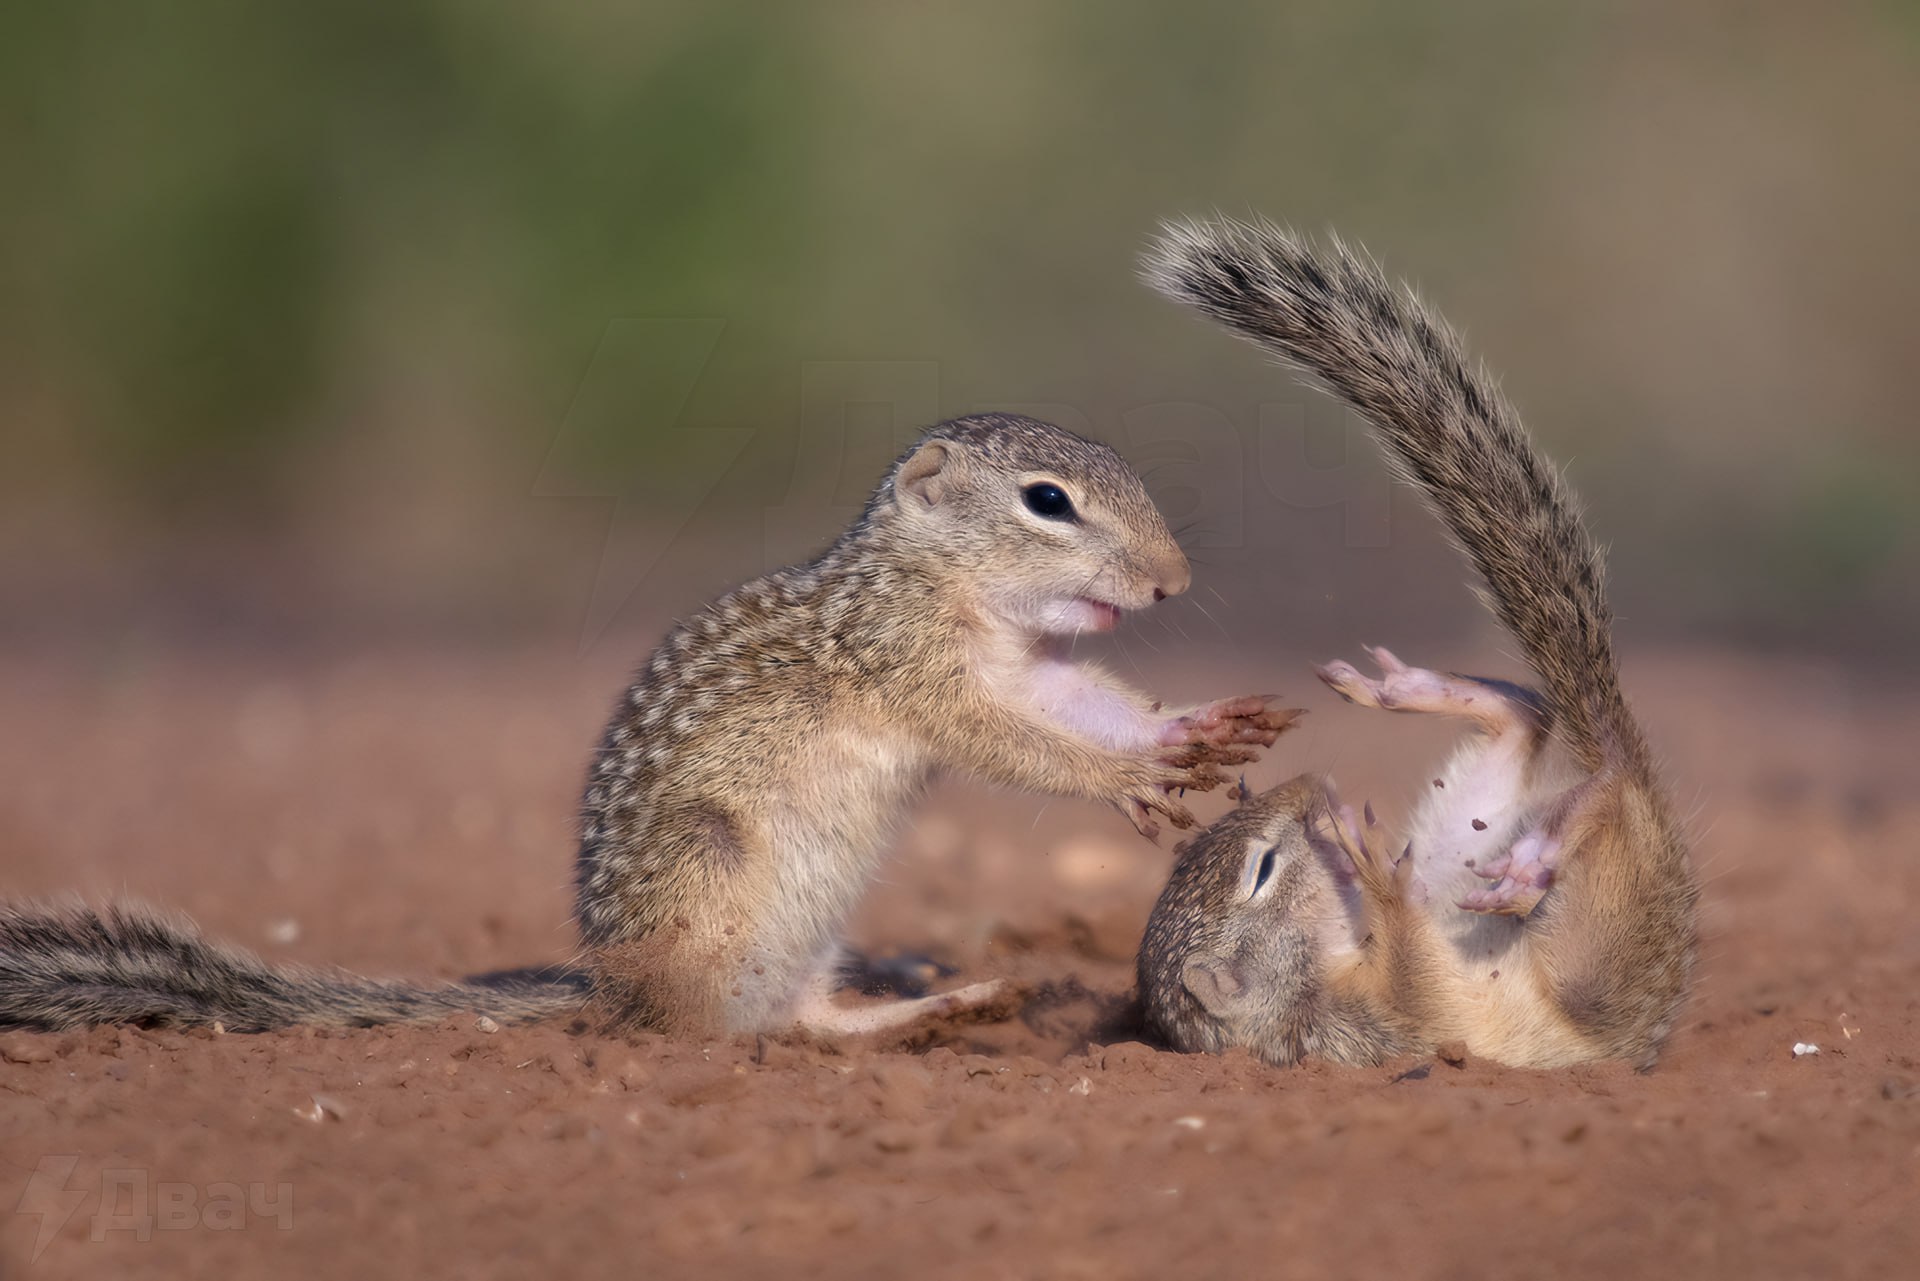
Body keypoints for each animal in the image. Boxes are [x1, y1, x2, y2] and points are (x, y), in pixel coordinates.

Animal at [3, 410, 1305, 1044]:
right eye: (1048, 501)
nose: (1175, 582)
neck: (936, 581)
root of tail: (612, 993)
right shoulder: (924, 671)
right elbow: (1020, 744)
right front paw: (1121, 778)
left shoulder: (1027, 666)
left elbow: (1086, 705)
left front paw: (1200, 725)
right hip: (719, 884)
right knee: (733, 1036)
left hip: (807, 934)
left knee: (806, 1020)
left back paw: (942, 1010)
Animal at [1136, 220, 1697, 1075]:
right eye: (1262, 870)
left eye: (1229, 809)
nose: (1306, 787)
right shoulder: (1386, 1027)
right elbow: (1419, 980)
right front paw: (1380, 883)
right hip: (1593, 925)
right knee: (1595, 788)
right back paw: (1547, 839)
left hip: (1465, 855)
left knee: (1529, 717)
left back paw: (1413, 692)